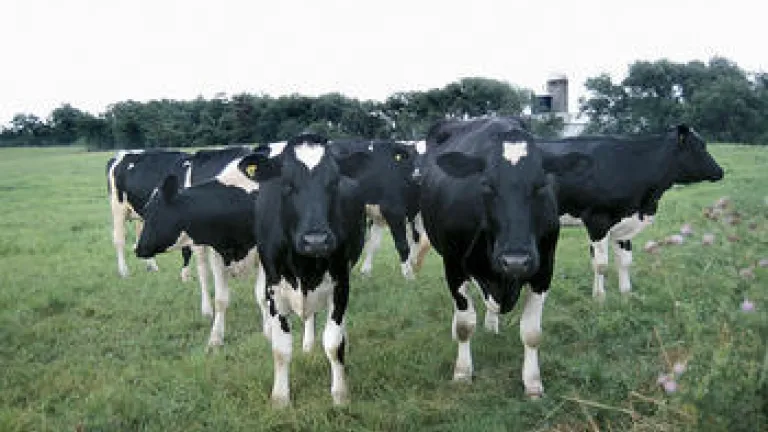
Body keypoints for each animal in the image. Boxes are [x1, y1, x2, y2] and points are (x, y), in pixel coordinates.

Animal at [236, 133, 370, 407]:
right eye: (287, 184)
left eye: (334, 182)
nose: (316, 240)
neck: (304, 265)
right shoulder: (274, 288)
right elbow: (281, 348)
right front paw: (280, 398)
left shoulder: (341, 282)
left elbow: (334, 342)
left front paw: (340, 394)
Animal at [417, 117, 561, 398]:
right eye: (486, 185)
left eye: (541, 185)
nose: (515, 261)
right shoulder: (453, 265)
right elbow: (465, 324)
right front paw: (462, 373)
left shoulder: (545, 268)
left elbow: (532, 332)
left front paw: (532, 383)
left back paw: (492, 325)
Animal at [537, 124, 724, 300]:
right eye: (699, 147)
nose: (720, 171)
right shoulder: (597, 220)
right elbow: (601, 264)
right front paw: (599, 298)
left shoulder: (625, 223)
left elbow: (625, 261)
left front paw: (626, 295)